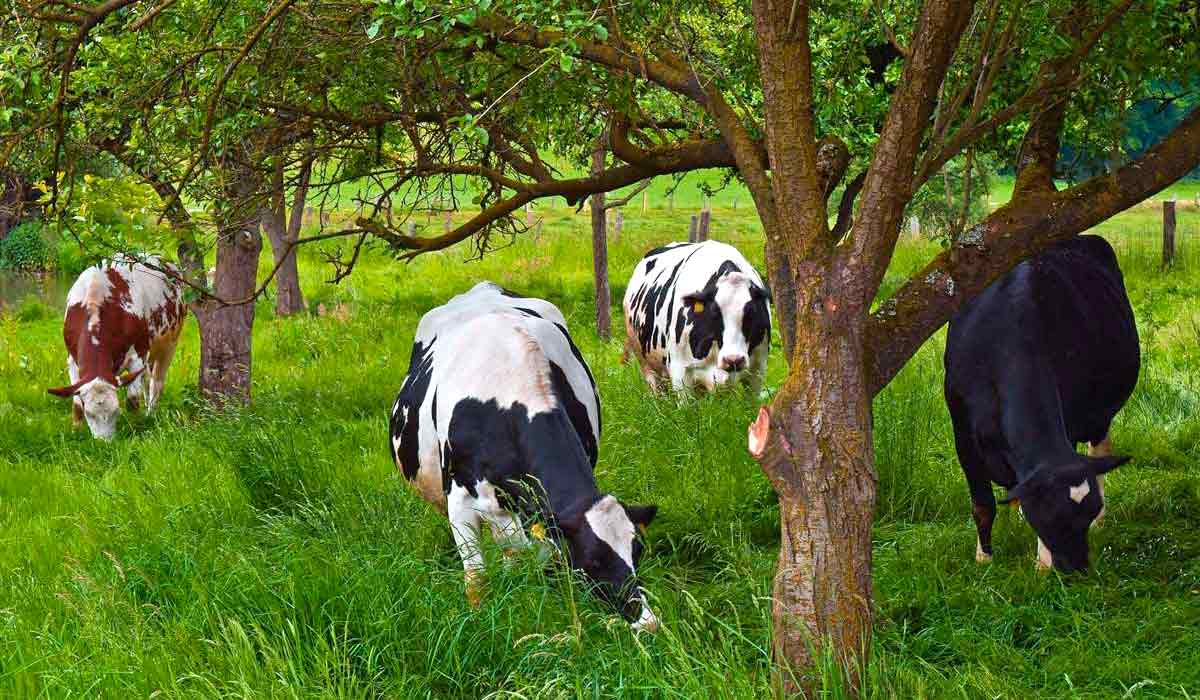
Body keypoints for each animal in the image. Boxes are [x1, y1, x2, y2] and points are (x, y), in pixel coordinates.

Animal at [48, 254, 187, 441]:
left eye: (116, 411)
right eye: (89, 414)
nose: (104, 443)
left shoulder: (138, 356)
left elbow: (132, 401)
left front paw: (136, 426)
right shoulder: (71, 360)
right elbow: (76, 403)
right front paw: (76, 430)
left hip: (169, 343)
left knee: (156, 382)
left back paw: (151, 413)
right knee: (146, 380)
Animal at [388, 282, 662, 633]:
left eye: (637, 550)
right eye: (592, 559)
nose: (647, 621)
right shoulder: (460, 502)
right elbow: (476, 578)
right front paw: (479, 622)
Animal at [624, 242, 772, 393]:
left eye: (752, 313)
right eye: (714, 313)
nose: (733, 360)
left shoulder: (758, 369)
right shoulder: (680, 372)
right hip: (645, 361)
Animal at [940, 235, 1137, 576]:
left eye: (1088, 511)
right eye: (1050, 515)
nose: (1078, 570)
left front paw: (1041, 564)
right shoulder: (962, 435)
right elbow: (982, 505)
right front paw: (984, 558)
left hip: (1099, 417)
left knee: (1099, 452)